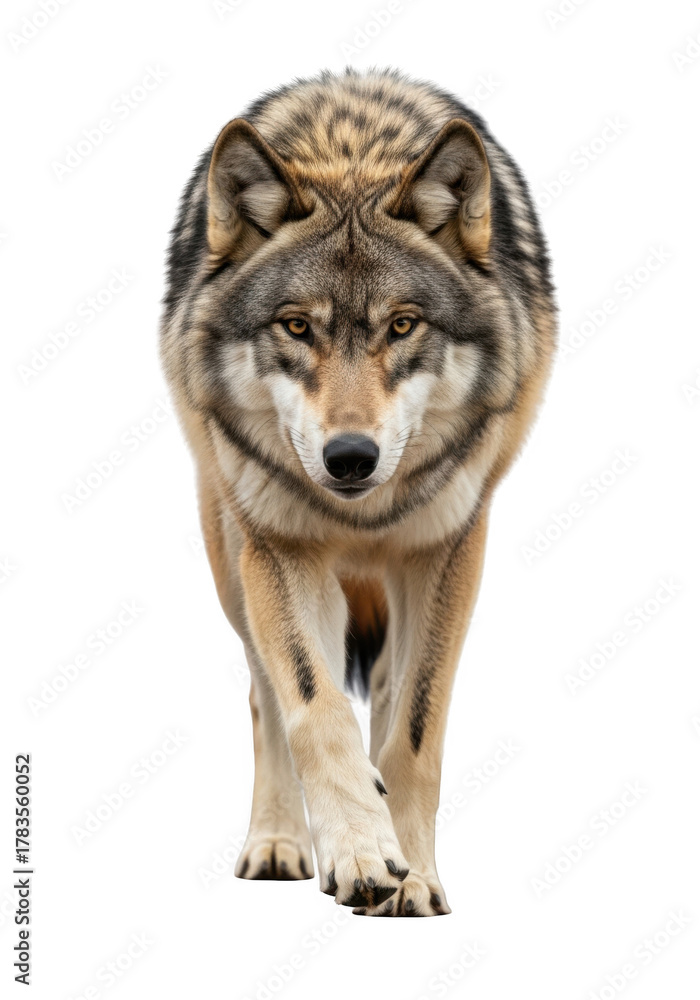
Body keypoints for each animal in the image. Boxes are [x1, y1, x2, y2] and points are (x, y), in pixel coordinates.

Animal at [160, 68, 556, 916]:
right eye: (296, 327)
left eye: (402, 326)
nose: (349, 458)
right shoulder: (282, 546)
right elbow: (313, 706)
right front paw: (362, 851)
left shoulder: (448, 548)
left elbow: (415, 726)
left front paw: (413, 873)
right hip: (229, 553)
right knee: (265, 694)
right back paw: (278, 841)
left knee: (382, 684)